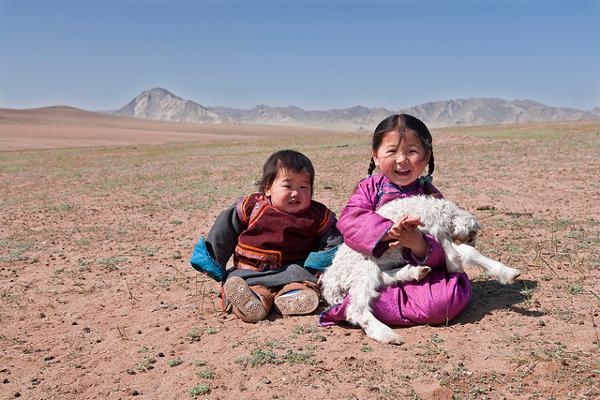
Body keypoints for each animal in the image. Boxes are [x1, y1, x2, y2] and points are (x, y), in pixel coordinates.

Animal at [322, 196, 524, 344]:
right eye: (472, 236)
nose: (472, 240)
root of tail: (330, 285)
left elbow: (464, 252)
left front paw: (507, 273)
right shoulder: (429, 228)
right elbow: (454, 247)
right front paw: (455, 263)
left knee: (384, 277)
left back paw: (415, 271)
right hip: (363, 266)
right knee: (356, 309)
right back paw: (387, 334)